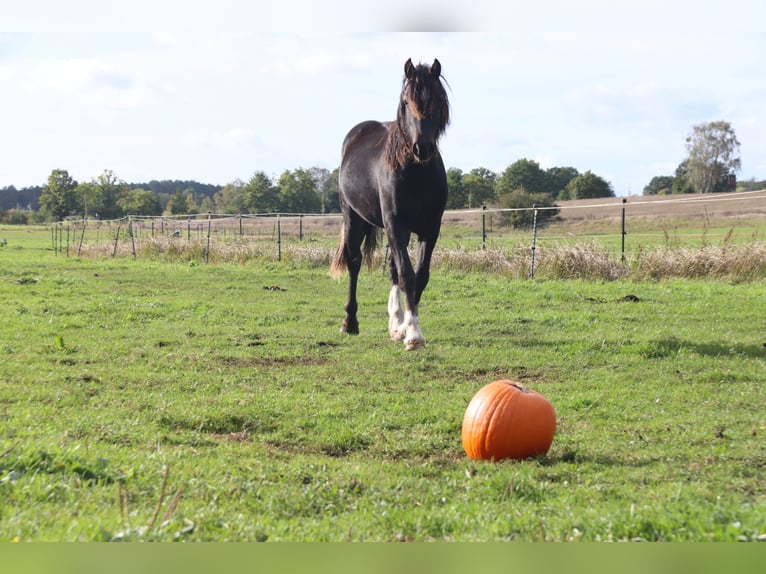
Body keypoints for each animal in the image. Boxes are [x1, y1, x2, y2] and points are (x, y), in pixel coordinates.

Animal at [330, 58, 450, 350]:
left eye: (438, 99)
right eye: (406, 101)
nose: (422, 148)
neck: (416, 173)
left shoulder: (430, 228)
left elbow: (419, 275)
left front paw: (406, 328)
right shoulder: (396, 223)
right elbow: (407, 274)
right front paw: (414, 334)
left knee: (393, 269)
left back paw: (395, 324)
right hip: (354, 219)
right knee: (354, 262)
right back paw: (349, 323)